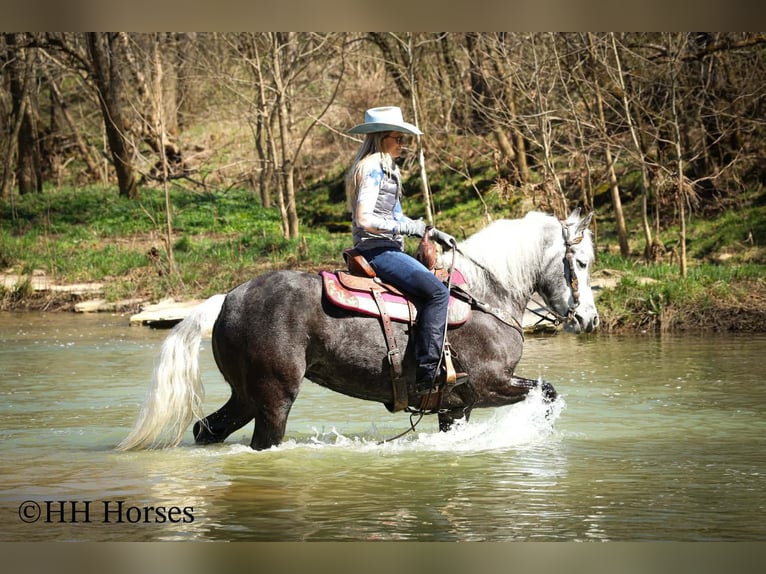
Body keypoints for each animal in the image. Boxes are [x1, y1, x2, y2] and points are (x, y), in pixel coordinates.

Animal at [118, 208, 598, 451]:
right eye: (582, 262)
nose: (589, 319)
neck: (486, 294)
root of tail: (227, 298)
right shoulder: (489, 384)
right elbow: (547, 392)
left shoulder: (455, 405)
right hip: (274, 397)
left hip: (245, 395)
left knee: (207, 429)